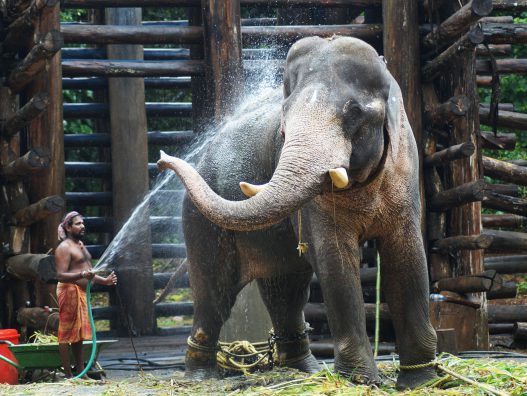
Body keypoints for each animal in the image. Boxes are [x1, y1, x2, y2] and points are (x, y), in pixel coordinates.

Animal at [159, 36, 440, 390]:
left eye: (354, 111)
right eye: (284, 122)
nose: (162, 159)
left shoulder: (405, 171)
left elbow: (408, 258)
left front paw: (423, 381)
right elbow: (336, 261)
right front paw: (361, 382)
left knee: (286, 289)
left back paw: (302, 370)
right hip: (199, 222)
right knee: (215, 293)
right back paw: (200, 377)